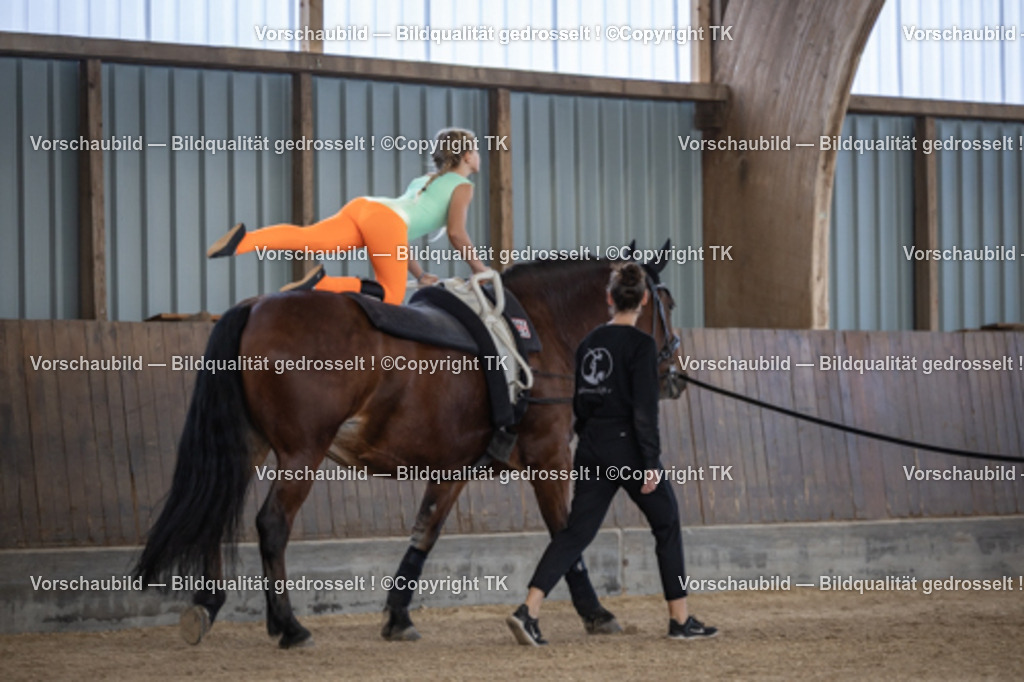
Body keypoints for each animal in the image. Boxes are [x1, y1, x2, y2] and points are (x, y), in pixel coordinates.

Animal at [133, 246, 685, 649]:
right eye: (670, 305)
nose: (674, 374)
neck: (541, 330)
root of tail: (257, 305)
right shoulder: (549, 457)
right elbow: (567, 534)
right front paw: (595, 612)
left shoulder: (454, 468)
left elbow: (425, 533)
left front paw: (398, 617)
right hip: (301, 454)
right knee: (272, 524)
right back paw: (289, 626)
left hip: (249, 446)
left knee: (218, 509)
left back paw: (207, 606)